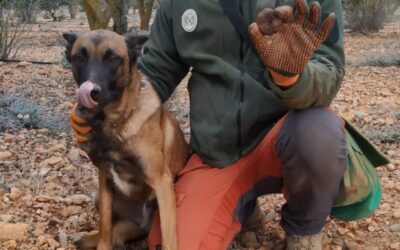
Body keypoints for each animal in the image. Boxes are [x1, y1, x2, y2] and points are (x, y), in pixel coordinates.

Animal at [62, 29, 189, 250]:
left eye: (113, 58)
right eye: (79, 57)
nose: (92, 92)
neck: (115, 122)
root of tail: (140, 224)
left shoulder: (162, 184)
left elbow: (169, 239)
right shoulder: (105, 180)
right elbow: (105, 229)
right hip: (99, 196)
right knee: (112, 229)